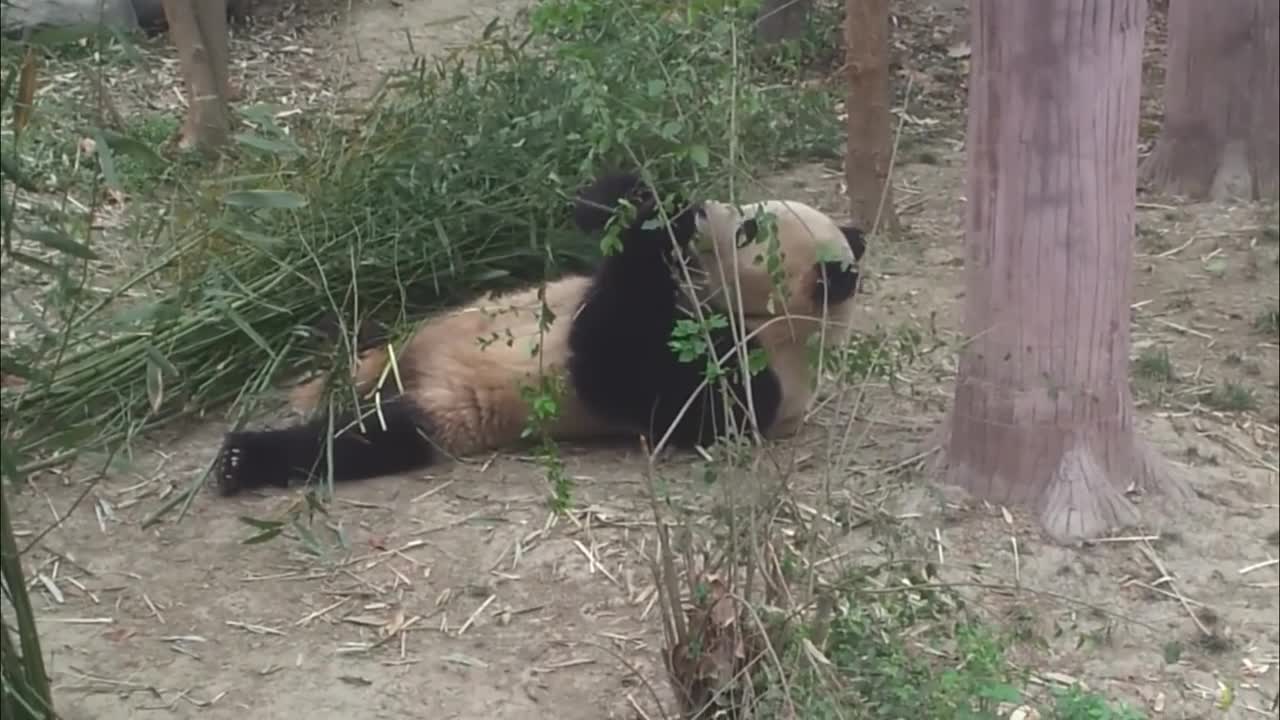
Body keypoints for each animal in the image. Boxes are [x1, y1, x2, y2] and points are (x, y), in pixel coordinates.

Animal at [212, 169, 870, 491]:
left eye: (748, 232)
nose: (709, 210)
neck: (784, 324)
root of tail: (407, 369)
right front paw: (632, 195)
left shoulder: (752, 379)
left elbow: (616, 362)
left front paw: (661, 218)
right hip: (412, 329)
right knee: (368, 333)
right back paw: (320, 336)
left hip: (448, 411)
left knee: (361, 439)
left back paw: (244, 459)